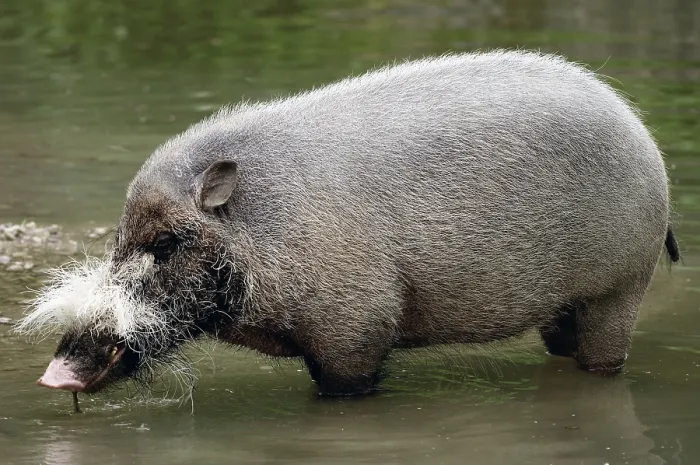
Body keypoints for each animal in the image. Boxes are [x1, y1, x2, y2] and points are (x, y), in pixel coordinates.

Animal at [17, 50, 680, 399]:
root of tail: (648, 142)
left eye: (166, 243)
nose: (53, 374)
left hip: (622, 284)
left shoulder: (356, 327)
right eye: (120, 239)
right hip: (567, 304)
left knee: (605, 357)